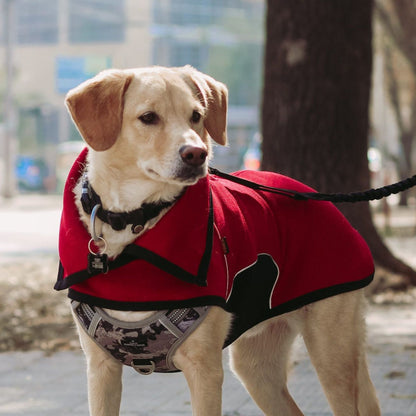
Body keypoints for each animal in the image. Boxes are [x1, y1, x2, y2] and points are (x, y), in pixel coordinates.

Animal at [55, 66, 380, 416]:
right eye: (148, 117)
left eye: (196, 116)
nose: (196, 153)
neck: (134, 219)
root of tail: (311, 193)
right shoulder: (101, 369)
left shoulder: (205, 370)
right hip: (257, 368)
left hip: (333, 356)